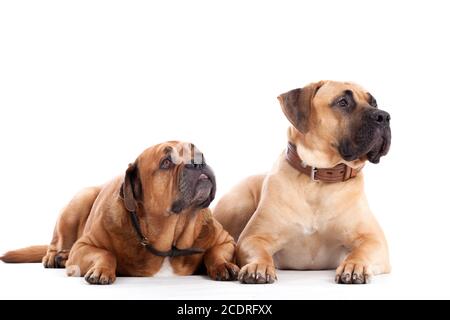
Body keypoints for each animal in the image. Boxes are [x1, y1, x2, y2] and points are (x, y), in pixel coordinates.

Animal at [0, 141, 239, 284]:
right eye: (166, 162)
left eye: (199, 153)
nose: (198, 161)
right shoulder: (84, 246)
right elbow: (105, 253)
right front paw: (102, 270)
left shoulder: (225, 240)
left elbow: (214, 252)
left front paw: (223, 265)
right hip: (79, 200)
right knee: (57, 241)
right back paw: (55, 256)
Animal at [214, 80, 390, 284]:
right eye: (343, 102)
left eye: (374, 102)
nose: (384, 116)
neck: (319, 179)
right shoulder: (253, 237)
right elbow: (258, 250)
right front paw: (259, 266)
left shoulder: (374, 240)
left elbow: (362, 251)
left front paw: (355, 265)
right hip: (238, 204)